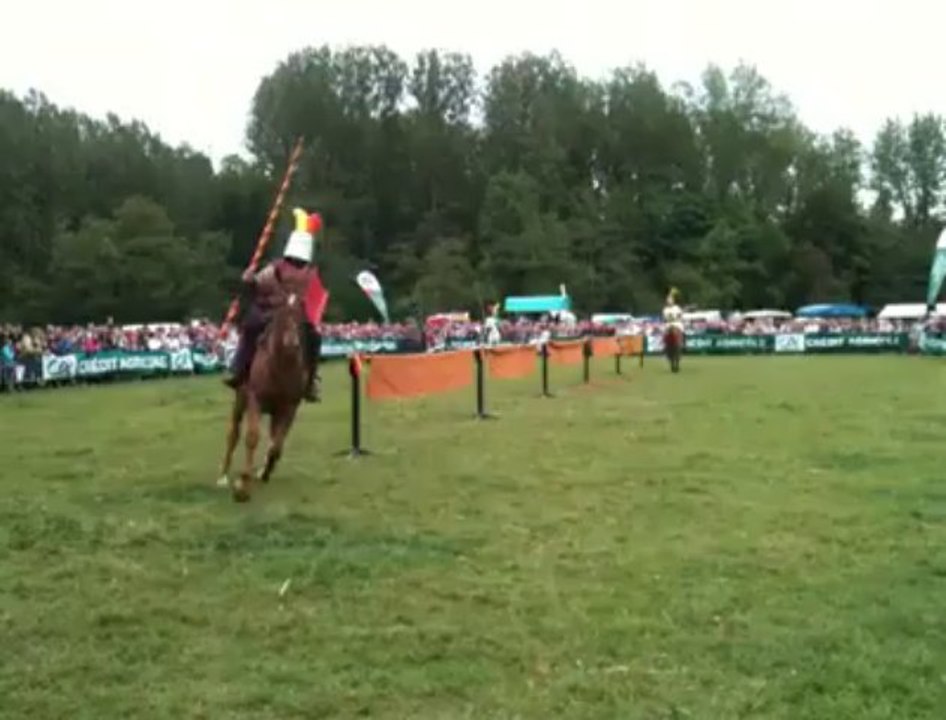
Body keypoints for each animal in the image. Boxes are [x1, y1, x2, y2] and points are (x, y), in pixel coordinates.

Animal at [218, 290, 308, 502]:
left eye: (299, 314)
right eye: (280, 314)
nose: (292, 343)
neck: (280, 366)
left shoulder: (289, 408)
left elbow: (276, 446)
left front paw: (264, 472)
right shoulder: (254, 401)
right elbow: (252, 438)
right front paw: (243, 486)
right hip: (240, 401)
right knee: (233, 435)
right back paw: (223, 476)